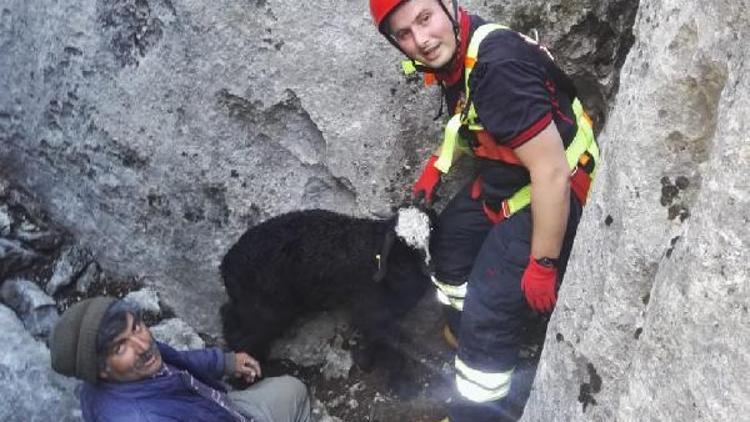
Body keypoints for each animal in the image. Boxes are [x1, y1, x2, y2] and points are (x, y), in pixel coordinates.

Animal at [220, 206, 432, 370]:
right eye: (406, 245)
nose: (428, 269)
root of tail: (226, 264)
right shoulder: (370, 308)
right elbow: (377, 334)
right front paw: (367, 362)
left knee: (228, 316)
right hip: (264, 311)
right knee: (241, 338)